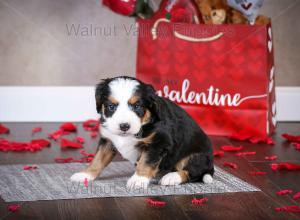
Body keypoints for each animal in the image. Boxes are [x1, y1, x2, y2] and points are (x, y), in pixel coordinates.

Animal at [71, 76, 214, 189]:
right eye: (111, 106)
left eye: (137, 106)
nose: (124, 126)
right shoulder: (108, 140)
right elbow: (98, 159)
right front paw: (85, 174)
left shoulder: (158, 142)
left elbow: (145, 162)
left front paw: (138, 180)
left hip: (197, 156)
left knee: (192, 172)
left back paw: (171, 177)